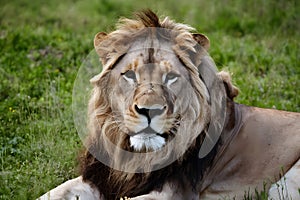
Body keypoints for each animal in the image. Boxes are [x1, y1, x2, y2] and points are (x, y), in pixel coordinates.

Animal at [38, 10, 300, 200]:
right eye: (130, 75)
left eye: (171, 77)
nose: (149, 111)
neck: (136, 157)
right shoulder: (104, 178)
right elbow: (57, 191)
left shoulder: (174, 193)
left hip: (283, 187)